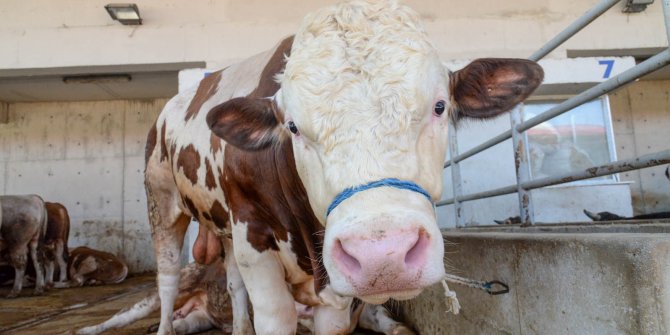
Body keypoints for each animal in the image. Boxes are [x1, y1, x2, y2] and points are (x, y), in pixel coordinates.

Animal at [144, 1, 544, 334]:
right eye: (292, 126)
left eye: (440, 106)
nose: (381, 257)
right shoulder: (252, 234)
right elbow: (275, 316)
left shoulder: (334, 295)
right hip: (162, 201)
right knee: (168, 277)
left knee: (233, 285)